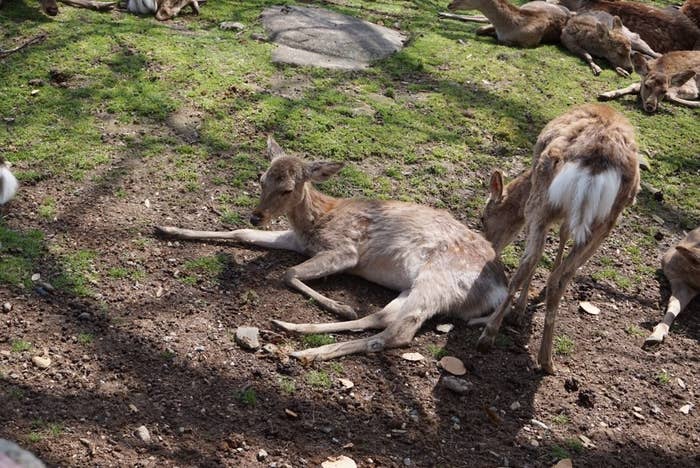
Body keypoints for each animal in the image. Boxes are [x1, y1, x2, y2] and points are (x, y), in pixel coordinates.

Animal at [156, 137, 509, 361]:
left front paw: (337, 305)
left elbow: (289, 272)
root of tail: (500, 291)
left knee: (398, 333)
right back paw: (292, 328)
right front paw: (166, 228)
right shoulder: (298, 241)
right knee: (381, 317)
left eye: (287, 189)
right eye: (261, 179)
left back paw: (308, 351)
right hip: (420, 287)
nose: (257, 215)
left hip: (438, 279)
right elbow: (242, 234)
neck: (316, 221)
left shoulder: (346, 250)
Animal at [476, 104, 640, 374]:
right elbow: (563, 235)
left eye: (482, 217)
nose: (488, 248)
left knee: (529, 261)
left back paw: (489, 334)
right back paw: (546, 359)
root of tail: (597, 161)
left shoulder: (538, 209)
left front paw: (520, 309)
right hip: (606, 221)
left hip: (542, 201)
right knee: (562, 278)